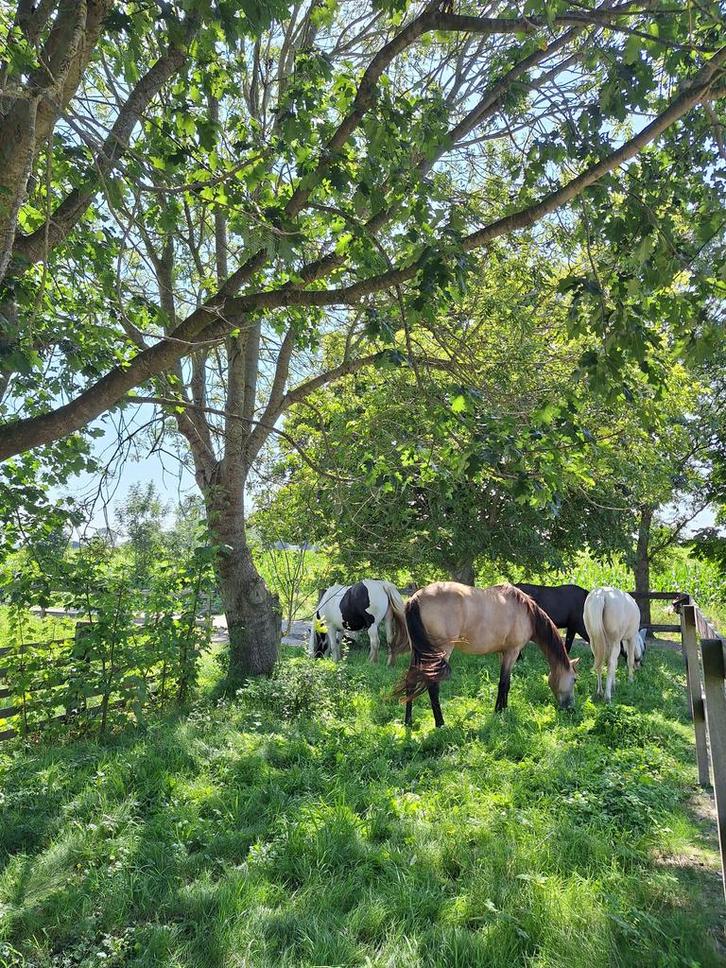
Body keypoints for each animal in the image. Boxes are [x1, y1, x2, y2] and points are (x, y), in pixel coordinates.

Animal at [394, 582, 579, 727]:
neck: (526, 613)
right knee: (432, 685)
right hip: (441, 652)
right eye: (575, 679)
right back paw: (440, 724)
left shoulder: (503, 653)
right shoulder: (513, 652)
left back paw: (408, 721)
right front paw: (498, 711)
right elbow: (503, 683)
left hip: (419, 652)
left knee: (410, 680)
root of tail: (416, 598)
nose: (570, 708)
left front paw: (504, 709)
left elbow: (507, 682)